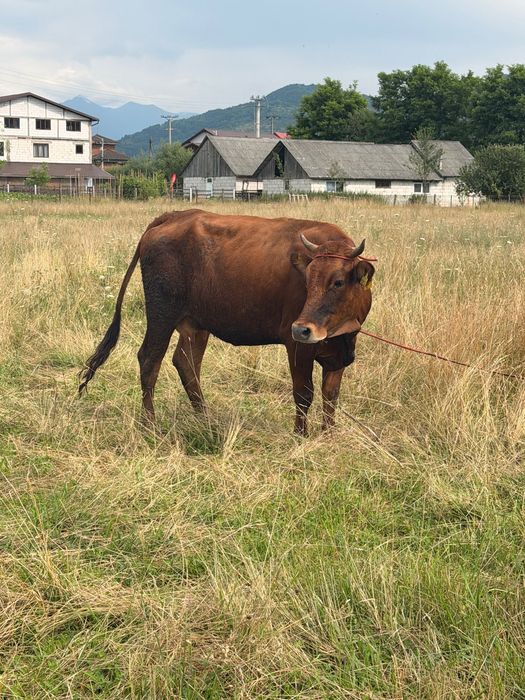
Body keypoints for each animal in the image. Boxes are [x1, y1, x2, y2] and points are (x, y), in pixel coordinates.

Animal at [79, 209, 375, 435]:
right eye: (307, 278)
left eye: (338, 282)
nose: (302, 328)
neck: (341, 334)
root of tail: (174, 215)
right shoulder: (298, 347)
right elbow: (304, 394)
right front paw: (300, 437)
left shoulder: (338, 352)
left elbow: (330, 395)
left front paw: (328, 435)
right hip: (161, 314)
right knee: (150, 360)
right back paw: (150, 426)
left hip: (195, 324)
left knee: (186, 363)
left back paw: (205, 420)